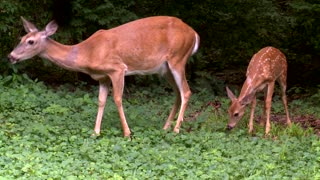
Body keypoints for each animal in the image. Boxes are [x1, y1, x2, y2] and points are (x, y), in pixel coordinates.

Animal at [8, 16, 200, 136]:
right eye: (21, 38)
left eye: (31, 41)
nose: (11, 56)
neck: (88, 53)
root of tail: (195, 34)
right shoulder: (102, 77)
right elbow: (101, 101)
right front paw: (95, 132)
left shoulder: (117, 68)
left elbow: (117, 99)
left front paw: (127, 133)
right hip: (165, 69)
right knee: (178, 93)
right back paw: (166, 127)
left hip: (178, 58)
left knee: (186, 91)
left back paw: (176, 129)